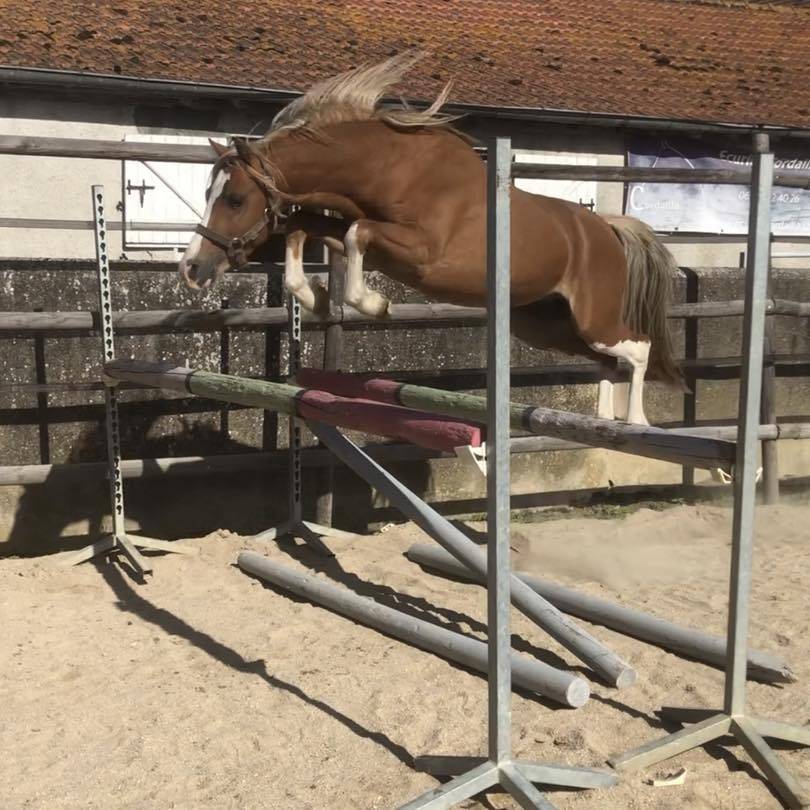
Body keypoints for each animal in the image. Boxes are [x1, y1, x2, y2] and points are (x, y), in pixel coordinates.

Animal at [178, 51, 683, 425]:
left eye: (236, 199)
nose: (191, 269)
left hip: (593, 318)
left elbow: (356, 234)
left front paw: (374, 304)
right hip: (545, 324)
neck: (391, 169)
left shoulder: (421, 254)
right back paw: (603, 421)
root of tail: (608, 230)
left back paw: (636, 422)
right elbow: (307, 225)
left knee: (638, 350)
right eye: (208, 193)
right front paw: (316, 297)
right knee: (607, 362)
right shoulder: (360, 231)